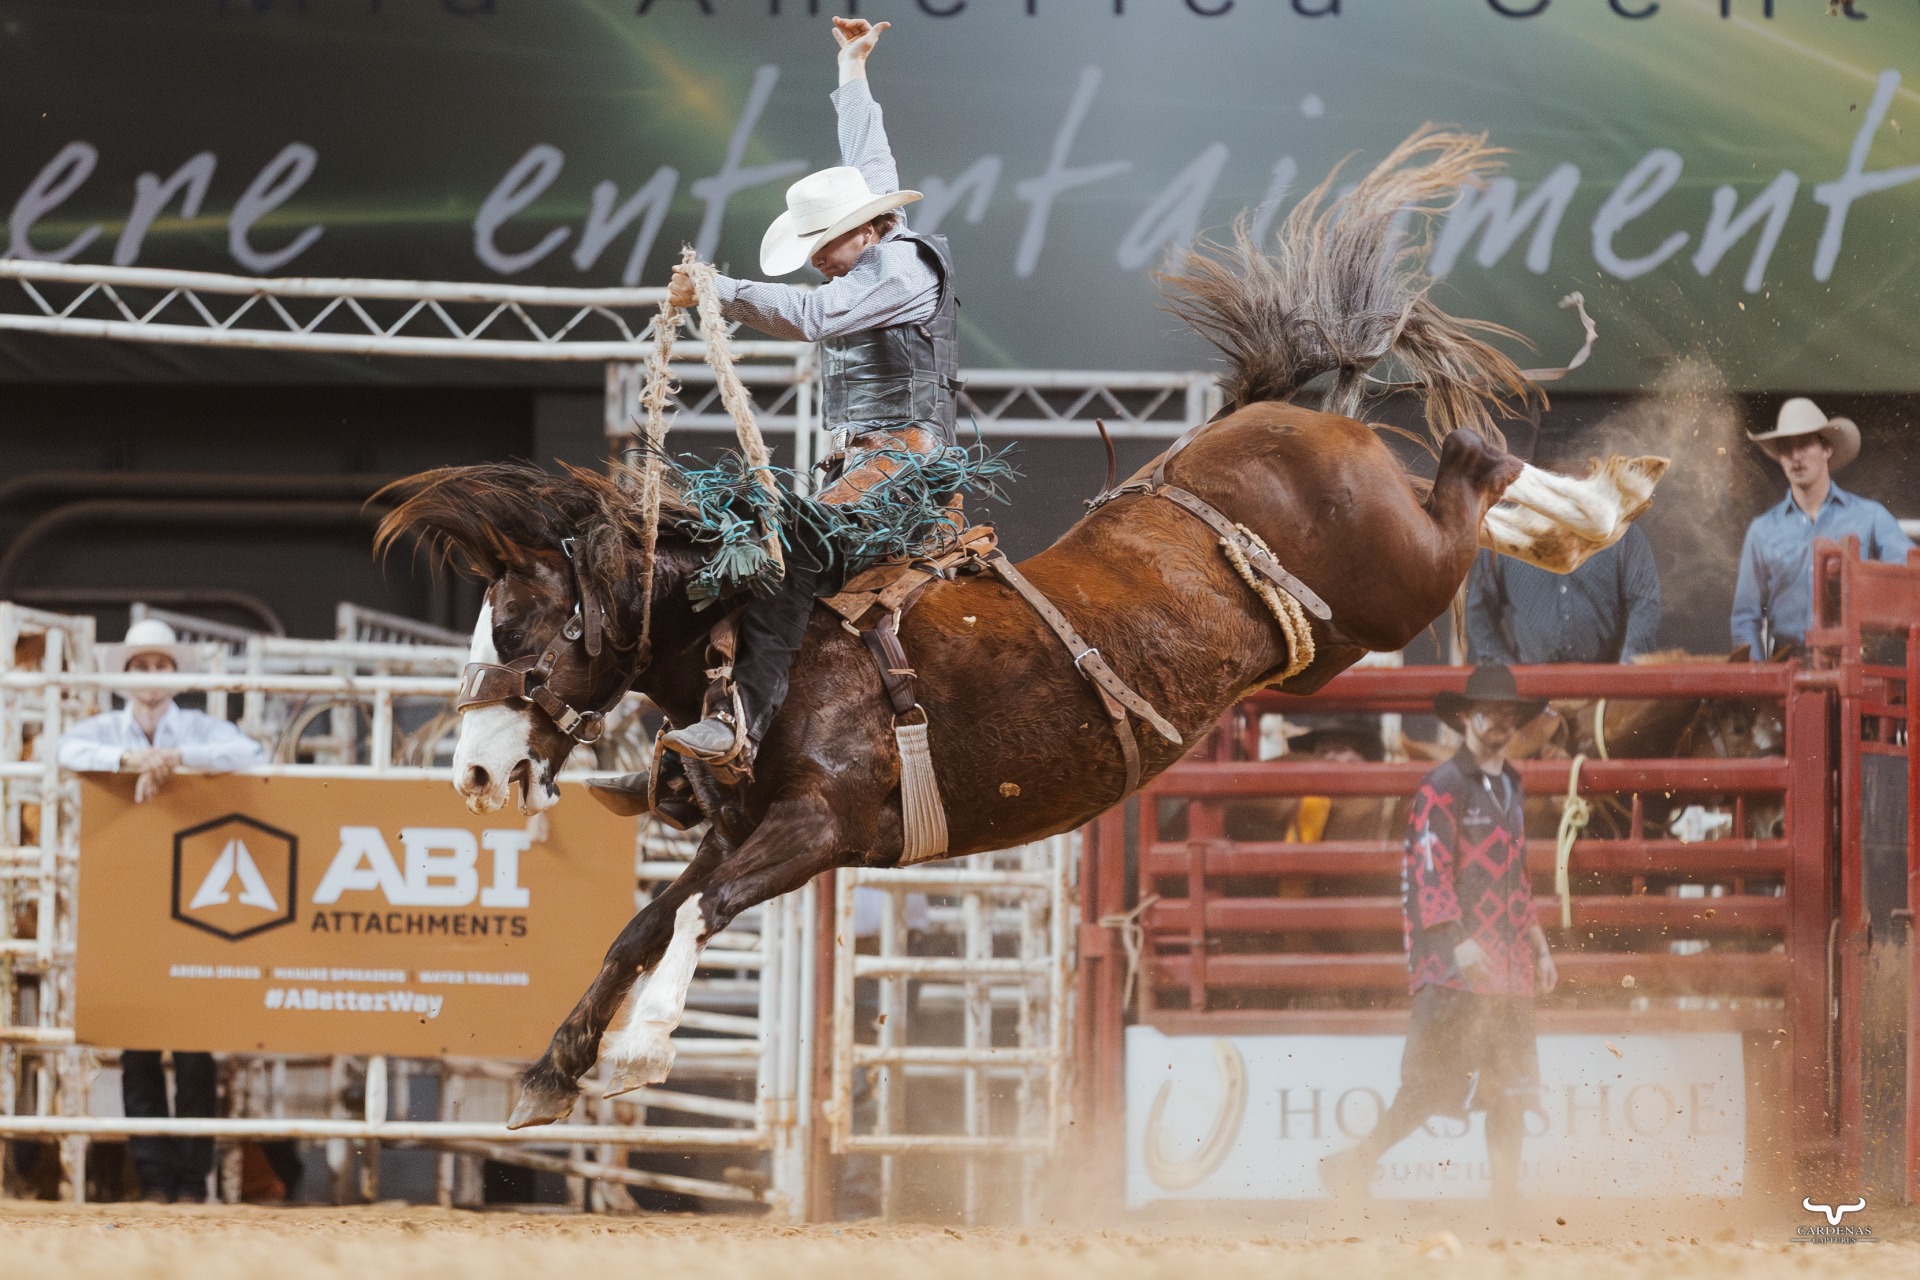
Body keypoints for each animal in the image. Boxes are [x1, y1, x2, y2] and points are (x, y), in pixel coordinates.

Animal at [376, 130, 1668, 1128]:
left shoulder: (816, 826)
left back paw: (1615, 492)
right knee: (1464, 485)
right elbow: (643, 919)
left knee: (1478, 460)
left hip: (1399, 576)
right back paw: (1601, 505)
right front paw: (552, 1069)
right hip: (1335, 643)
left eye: (521, 629)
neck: (764, 640)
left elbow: (693, 911)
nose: (473, 770)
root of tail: (1285, 418)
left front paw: (636, 1054)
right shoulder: (744, 825)